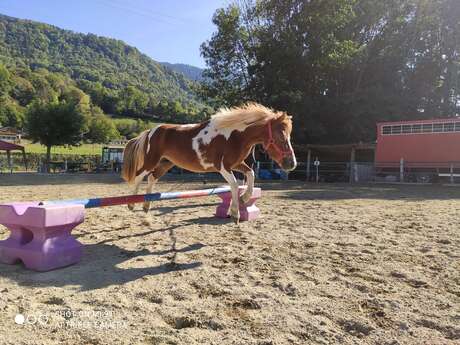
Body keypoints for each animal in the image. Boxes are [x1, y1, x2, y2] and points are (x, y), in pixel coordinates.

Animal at [120, 101, 296, 223]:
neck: (235, 136)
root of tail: (151, 130)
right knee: (139, 176)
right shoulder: (223, 167)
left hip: (166, 163)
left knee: (151, 177)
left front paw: (245, 198)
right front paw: (235, 213)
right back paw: (131, 204)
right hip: (152, 160)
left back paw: (146, 206)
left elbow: (251, 173)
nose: (292, 164)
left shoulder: (236, 164)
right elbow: (234, 184)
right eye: (281, 137)